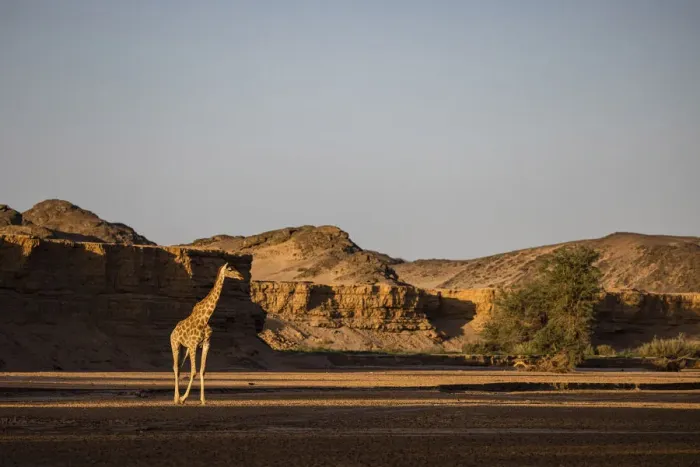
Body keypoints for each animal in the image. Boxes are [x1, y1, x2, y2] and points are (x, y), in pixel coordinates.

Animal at [170, 262, 244, 405]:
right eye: (230, 269)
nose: (241, 276)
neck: (206, 319)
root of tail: (173, 331)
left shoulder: (206, 344)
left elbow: (202, 371)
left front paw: (203, 400)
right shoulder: (193, 345)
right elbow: (193, 372)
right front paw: (183, 398)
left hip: (185, 348)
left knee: (179, 367)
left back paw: (176, 397)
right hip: (175, 344)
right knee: (175, 367)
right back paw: (176, 398)